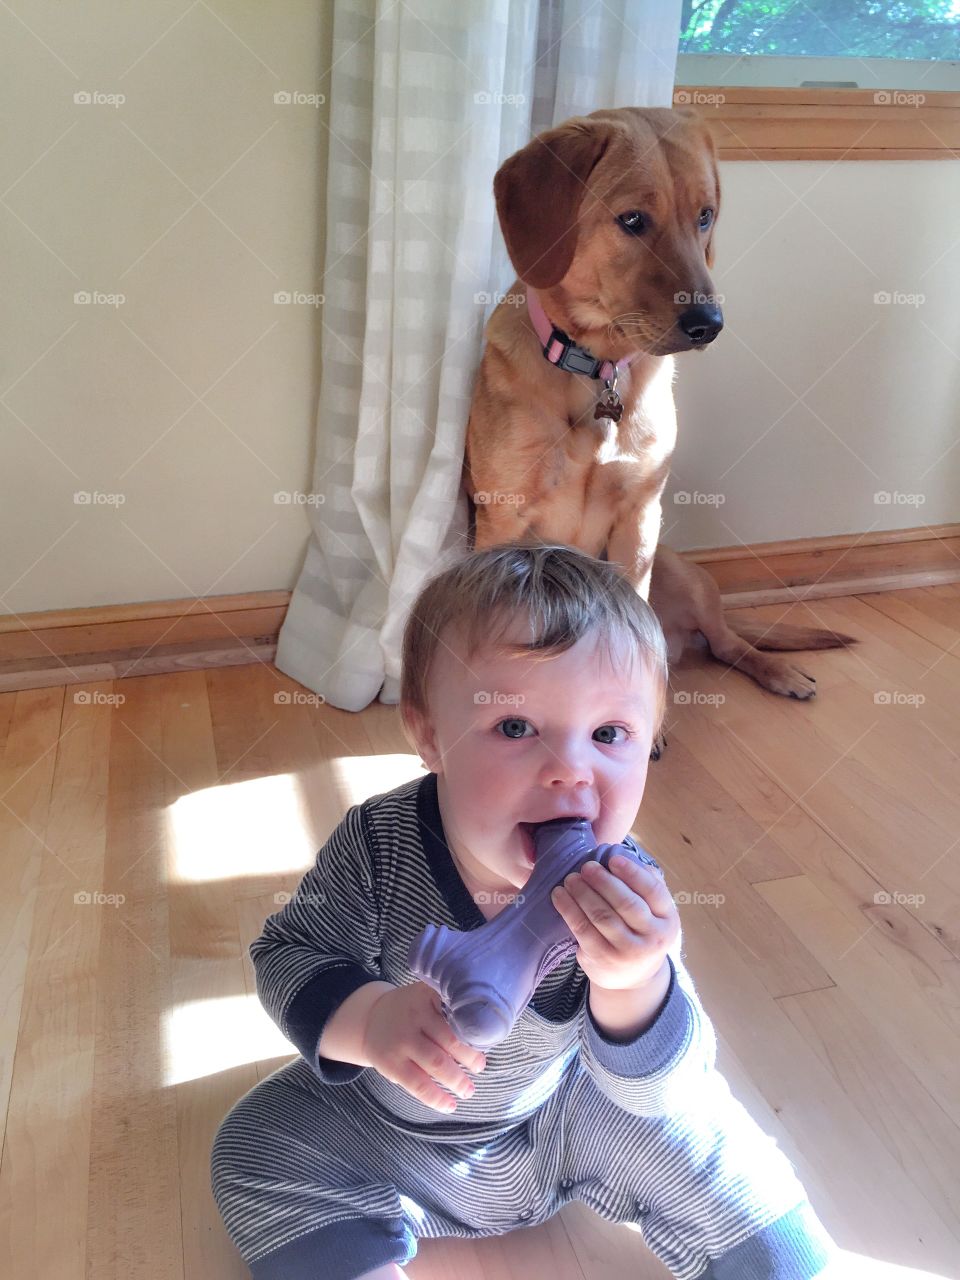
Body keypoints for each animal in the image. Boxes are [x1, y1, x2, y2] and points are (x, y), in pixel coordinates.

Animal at [463, 103, 855, 727]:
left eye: (705, 216)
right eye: (631, 220)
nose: (709, 324)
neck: (597, 367)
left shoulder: (640, 519)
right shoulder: (503, 518)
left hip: (678, 568)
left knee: (728, 643)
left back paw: (778, 673)